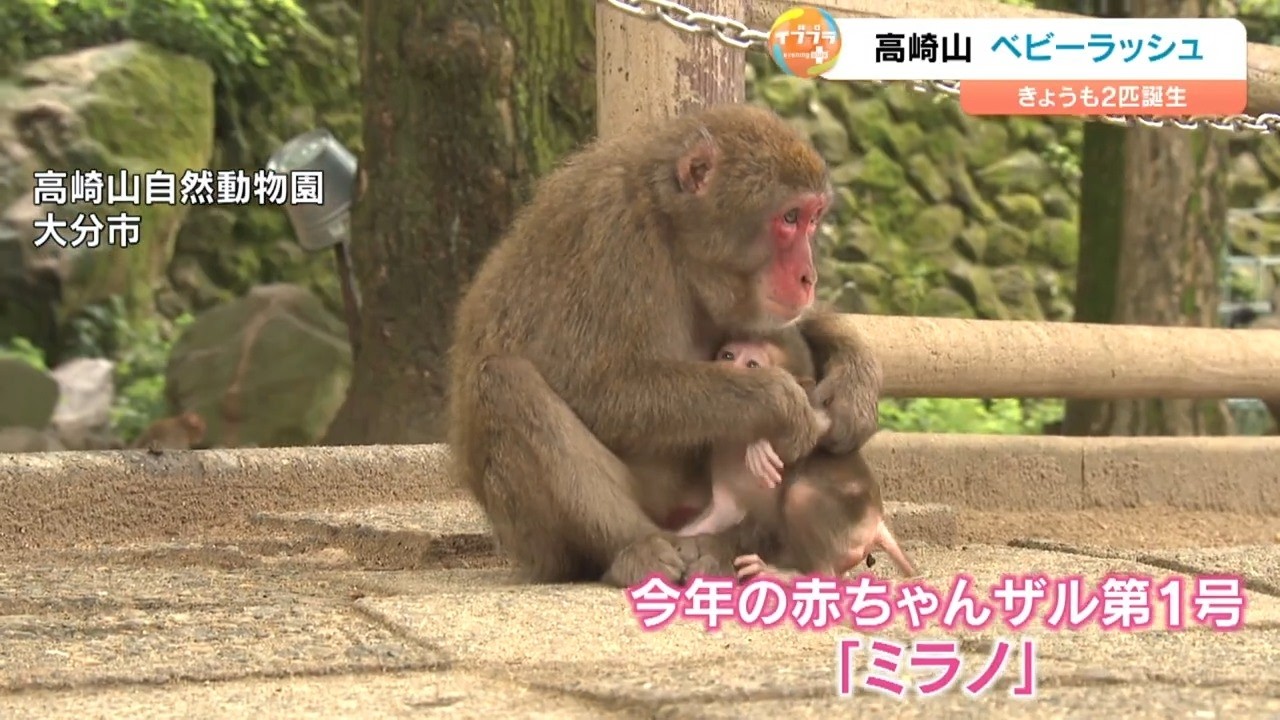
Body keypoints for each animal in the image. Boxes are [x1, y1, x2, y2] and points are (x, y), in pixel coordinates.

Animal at [447, 103, 885, 587]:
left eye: (813, 217)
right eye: (790, 218)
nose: (809, 277)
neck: (674, 235)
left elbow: (790, 330)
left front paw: (854, 386)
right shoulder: (612, 235)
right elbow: (594, 388)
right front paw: (780, 402)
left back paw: (727, 549)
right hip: (547, 541)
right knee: (503, 381)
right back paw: (635, 551)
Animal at [678, 339, 915, 580]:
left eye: (752, 364)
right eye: (728, 356)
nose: (727, 372)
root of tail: (877, 521)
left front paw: (761, 444)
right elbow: (720, 513)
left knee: (802, 496)